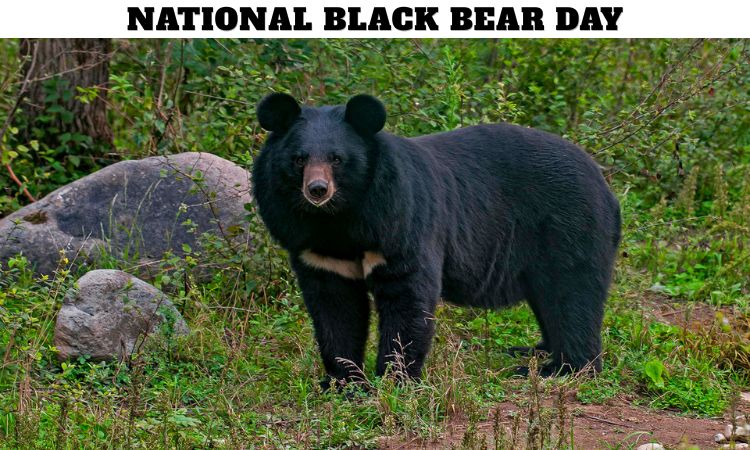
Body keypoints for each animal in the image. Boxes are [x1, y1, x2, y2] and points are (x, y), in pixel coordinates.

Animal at [251, 93, 621, 386]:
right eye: (299, 159)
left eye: (337, 159)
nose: (317, 190)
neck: (338, 219)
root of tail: (604, 185)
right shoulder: (315, 248)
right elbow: (334, 307)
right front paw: (343, 381)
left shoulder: (399, 221)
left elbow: (407, 295)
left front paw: (394, 379)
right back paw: (532, 350)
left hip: (569, 226)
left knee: (572, 294)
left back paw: (562, 368)